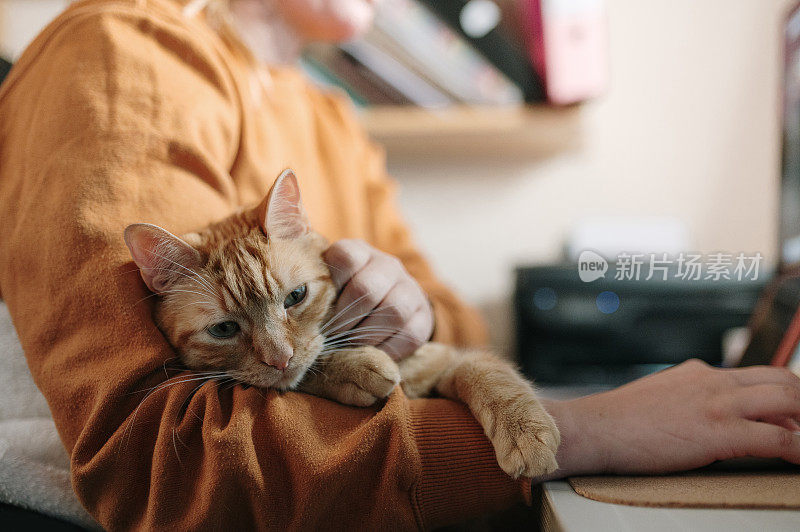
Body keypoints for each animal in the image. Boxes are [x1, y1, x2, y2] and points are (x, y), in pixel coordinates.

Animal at [125, 169, 560, 478]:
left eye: (296, 296)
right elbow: (305, 371)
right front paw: (357, 368)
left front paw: (527, 431)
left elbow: (492, 377)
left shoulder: (447, 360)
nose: (279, 358)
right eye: (224, 330)